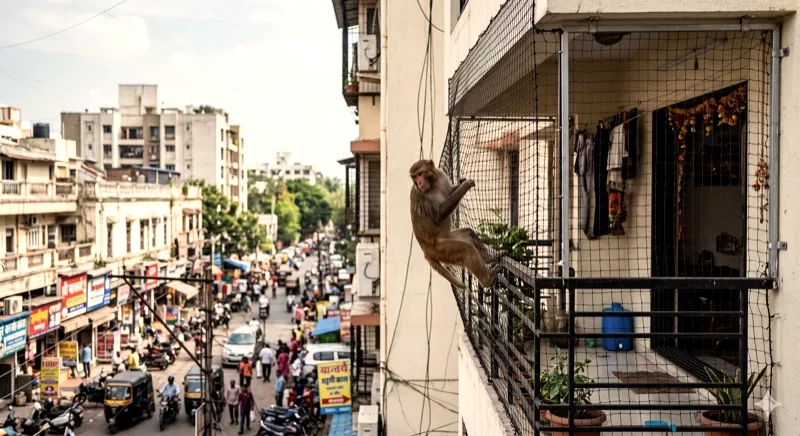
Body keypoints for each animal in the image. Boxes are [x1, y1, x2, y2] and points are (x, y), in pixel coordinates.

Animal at [409, 159, 502, 289]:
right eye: (415, 177)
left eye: (420, 174)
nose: (419, 182)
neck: (433, 183)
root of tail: (426, 251)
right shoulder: (421, 195)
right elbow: (439, 215)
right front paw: (465, 185)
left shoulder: (441, 176)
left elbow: (449, 193)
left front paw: (460, 182)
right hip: (440, 250)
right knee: (467, 250)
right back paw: (487, 281)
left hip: (448, 239)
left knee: (468, 233)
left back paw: (490, 258)